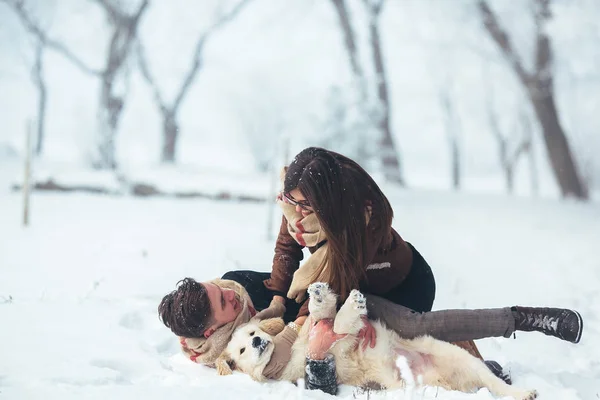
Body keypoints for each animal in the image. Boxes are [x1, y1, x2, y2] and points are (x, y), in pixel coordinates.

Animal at [217, 282, 540, 398]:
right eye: (242, 349)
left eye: (252, 333)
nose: (257, 343)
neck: (286, 351)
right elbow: (337, 328)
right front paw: (349, 307)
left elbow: (323, 318)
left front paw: (321, 296)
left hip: (455, 356)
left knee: (492, 380)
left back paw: (524, 392)